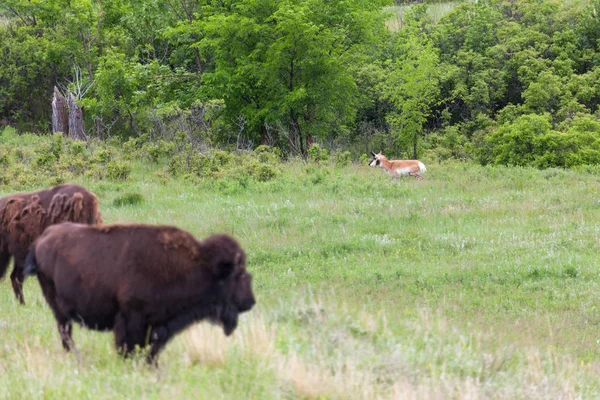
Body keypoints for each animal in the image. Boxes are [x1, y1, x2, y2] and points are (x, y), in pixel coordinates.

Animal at [24, 223, 255, 364]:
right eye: (238, 274)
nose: (250, 302)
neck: (199, 266)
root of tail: (42, 239)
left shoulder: (158, 327)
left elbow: (151, 351)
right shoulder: (132, 320)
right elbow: (129, 347)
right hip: (59, 309)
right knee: (66, 333)